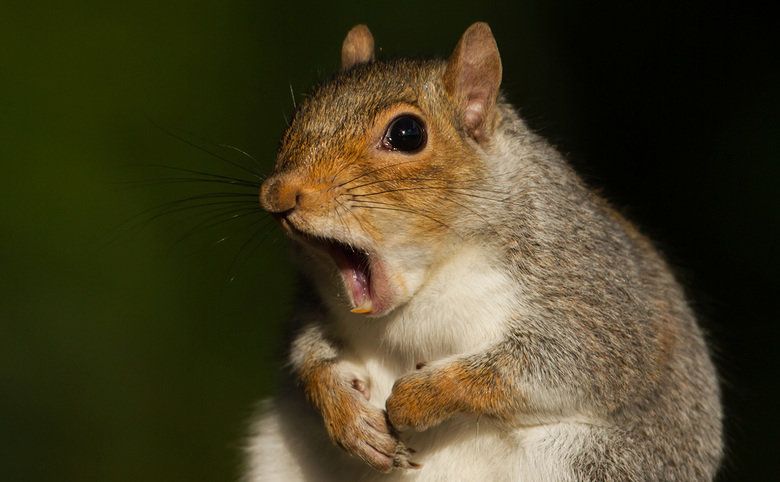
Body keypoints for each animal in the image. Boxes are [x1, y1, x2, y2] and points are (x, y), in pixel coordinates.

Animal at [245, 23, 723, 481]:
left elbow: (559, 365)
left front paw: (419, 397)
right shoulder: (316, 303)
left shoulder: (592, 295)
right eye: (298, 114)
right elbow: (309, 353)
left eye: (407, 133)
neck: (425, 286)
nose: (278, 194)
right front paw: (346, 414)